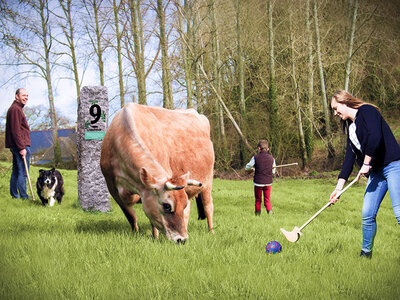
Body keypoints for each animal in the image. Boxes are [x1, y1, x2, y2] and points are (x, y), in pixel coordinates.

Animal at [100, 103, 214, 244]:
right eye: (167, 206)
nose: (182, 239)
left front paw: (155, 237)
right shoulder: (113, 188)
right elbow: (131, 216)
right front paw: (135, 233)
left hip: (208, 182)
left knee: (208, 206)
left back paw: (211, 231)